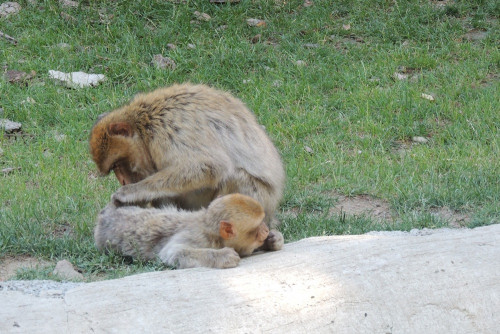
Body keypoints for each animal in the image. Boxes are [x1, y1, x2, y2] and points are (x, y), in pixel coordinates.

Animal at [90, 83, 286, 250]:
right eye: (114, 168)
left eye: (117, 164)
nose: (123, 181)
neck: (144, 126)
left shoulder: (167, 129)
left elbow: (209, 166)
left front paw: (131, 192)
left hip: (262, 201)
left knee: (236, 177)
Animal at [95, 193, 272, 268]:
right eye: (258, 227)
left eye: (263, 221)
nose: (266, 229)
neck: (213, 235)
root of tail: (107, 212)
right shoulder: (198, 238)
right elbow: (173, 252)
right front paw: (222, 256)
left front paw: (273, 239)